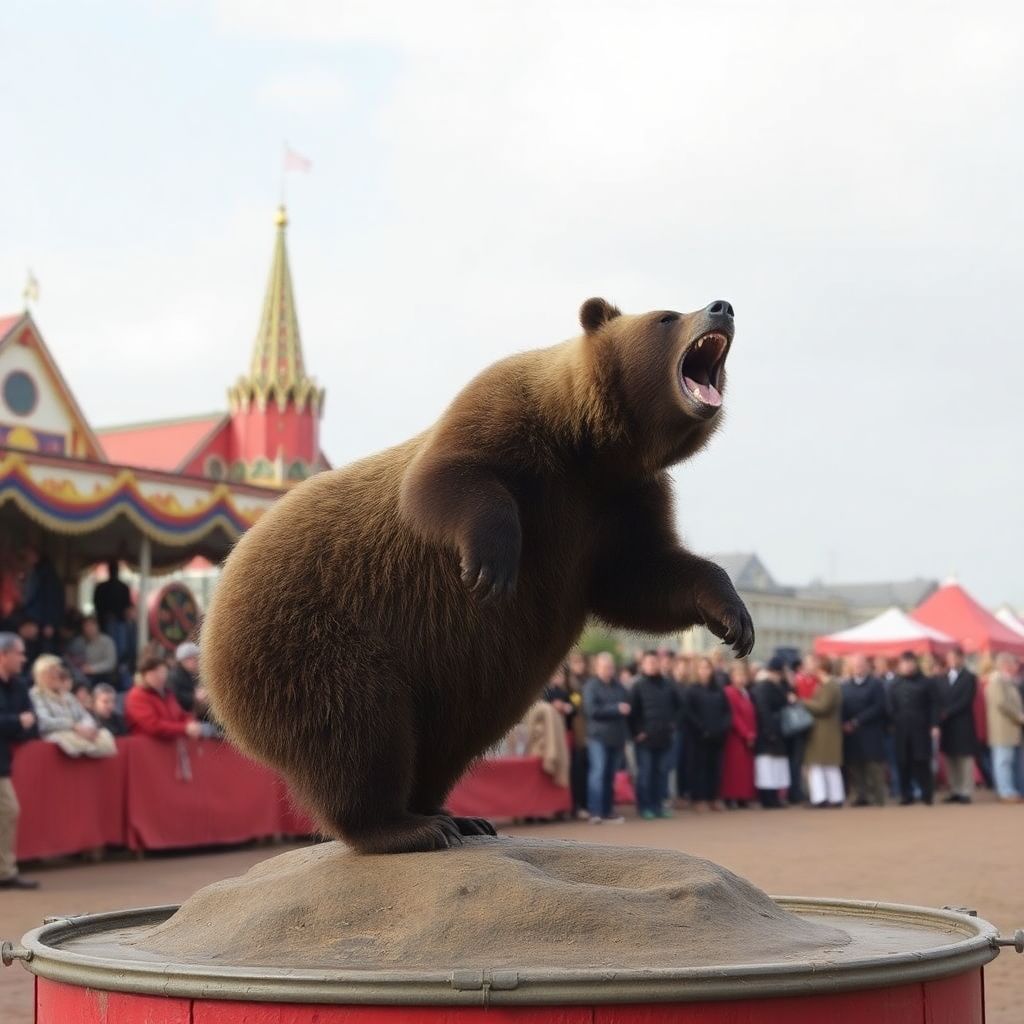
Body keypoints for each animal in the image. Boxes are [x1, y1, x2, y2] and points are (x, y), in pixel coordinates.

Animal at [202, 297, 754, 854]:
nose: (721, 307)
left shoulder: (619, 506)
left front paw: (734, 618)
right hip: (313, 635)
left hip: (443, 679)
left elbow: (644, 577)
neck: (593, 450)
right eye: (666, 317)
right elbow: (446, 478)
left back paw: (454, 815)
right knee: (355, 727)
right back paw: (404, 826)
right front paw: (493, 563)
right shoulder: (509, 420)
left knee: (447, 740)